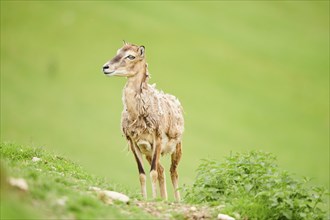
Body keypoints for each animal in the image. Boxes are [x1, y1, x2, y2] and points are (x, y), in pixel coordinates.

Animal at [102, 41, 184, 201]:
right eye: (118, 51)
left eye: (131, 56)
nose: (105, 67)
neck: (138, 114)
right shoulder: (135, 143)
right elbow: (142, 174)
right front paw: (146, 198)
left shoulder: (157, 140)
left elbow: (152, 172)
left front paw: (153, 199)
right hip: (148, 152)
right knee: (162, 170)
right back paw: (164, 198)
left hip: (176, 148)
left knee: (173, 171)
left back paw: (176, 201)